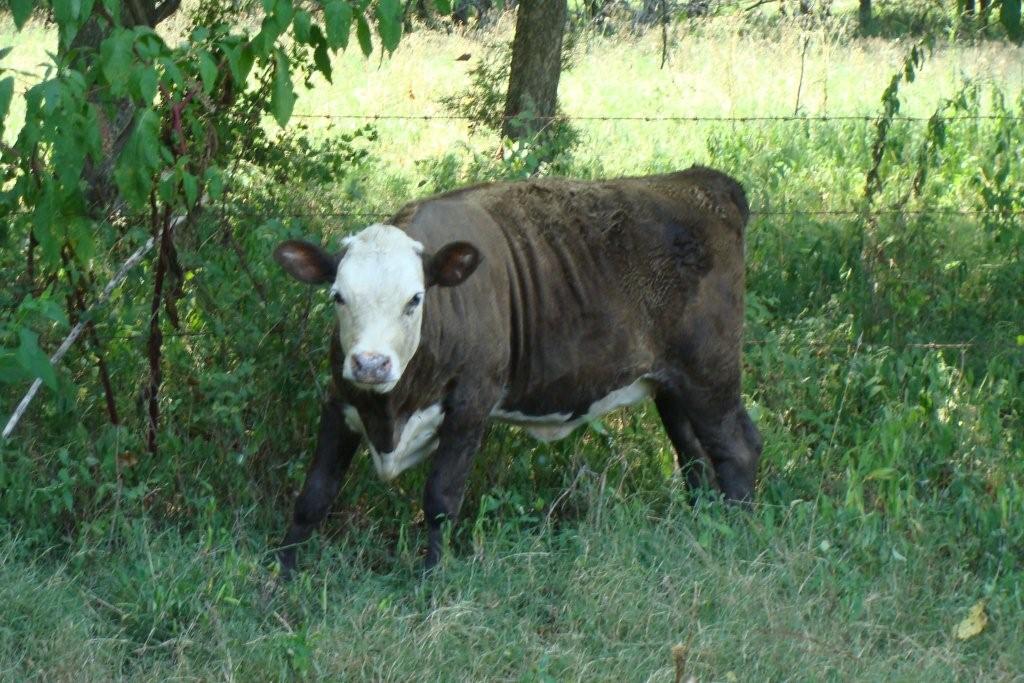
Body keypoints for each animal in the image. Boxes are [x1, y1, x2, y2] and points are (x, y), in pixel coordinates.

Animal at [276, 167, 765, 573]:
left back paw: (736, 537)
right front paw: (284, 575)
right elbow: (313, 495)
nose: (371, 364)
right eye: (338, 296)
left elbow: (440, 500)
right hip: (673, 385)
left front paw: (429, 581)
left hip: (710, 373)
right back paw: (703, 525)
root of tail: (700, 181)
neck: (393, 411)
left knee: (737, 448)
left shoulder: (470, 406)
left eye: (415, 298)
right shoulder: (340, 403)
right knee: (693, 456)